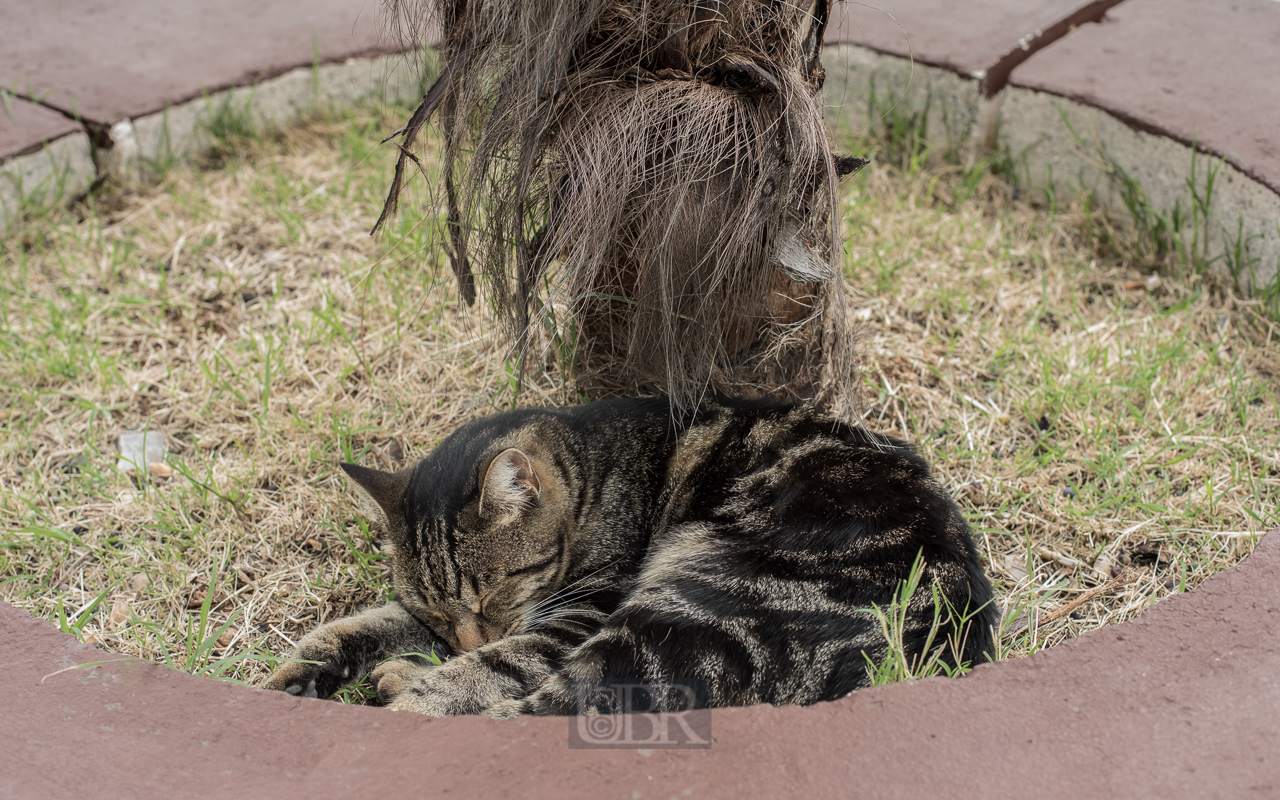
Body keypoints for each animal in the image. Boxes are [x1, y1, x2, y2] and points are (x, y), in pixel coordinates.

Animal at [262, 396, 998, 716]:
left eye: (494, 590)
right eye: (441, 612)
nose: (467, 636)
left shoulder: (574, 615)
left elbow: (494, 665)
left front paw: (425, 685)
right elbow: (366, 623)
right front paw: (303, 671)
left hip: (675, 615)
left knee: (541, 710)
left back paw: (400, 686)